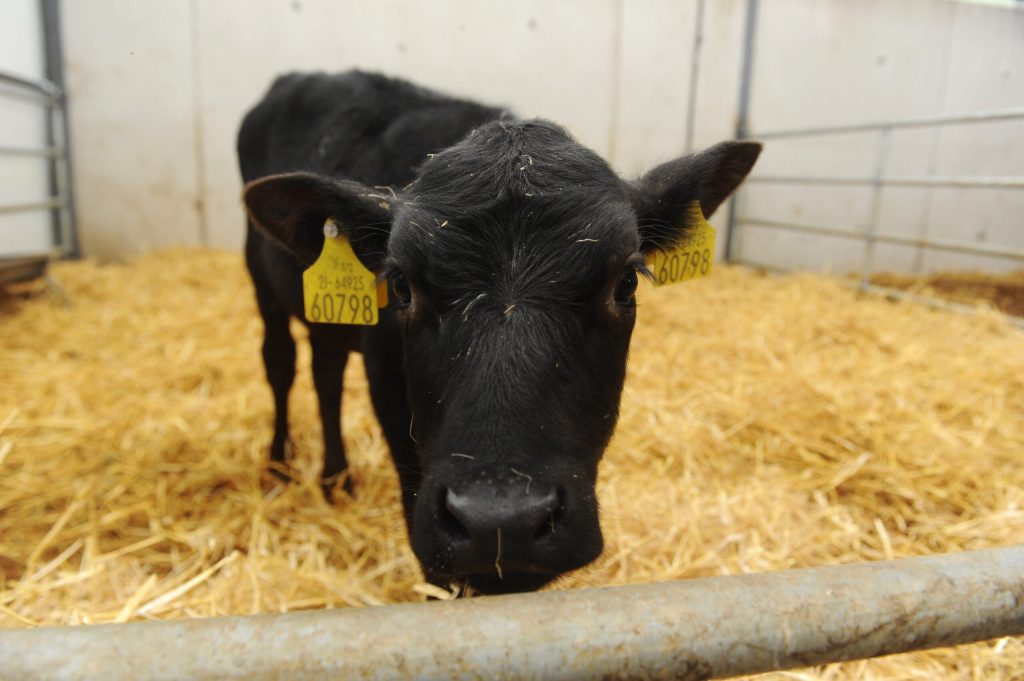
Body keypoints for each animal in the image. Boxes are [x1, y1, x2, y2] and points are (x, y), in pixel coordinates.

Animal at [239, 70, 760, 594]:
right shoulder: (385, 380)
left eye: (626, 282)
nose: (502, 522)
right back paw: (279, 464)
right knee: (280, 363)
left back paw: (336, 480)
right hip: (259, 274)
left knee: (325, 371)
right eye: (402, 285)